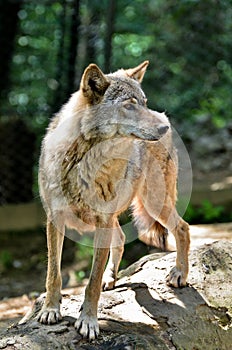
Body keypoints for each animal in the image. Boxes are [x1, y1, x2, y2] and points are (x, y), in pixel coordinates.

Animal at [37, 60, 190, 340]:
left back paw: (179, 274)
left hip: (152, 203)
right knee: (120, 239)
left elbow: (92, 282)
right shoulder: (55, 219)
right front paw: (50, 310)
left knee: (182, 228)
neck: (84, 161)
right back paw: (112, 277)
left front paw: (88, 321)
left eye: (144, 102)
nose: (163, 128)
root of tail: (165, 117)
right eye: (129, 106)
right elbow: (53, 273)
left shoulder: (102, 220)